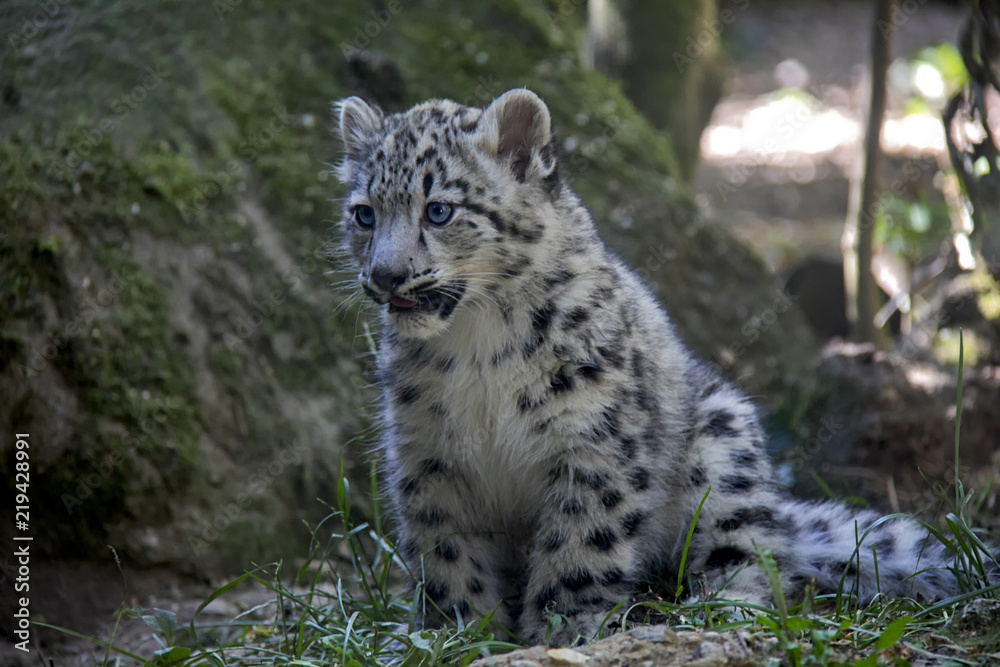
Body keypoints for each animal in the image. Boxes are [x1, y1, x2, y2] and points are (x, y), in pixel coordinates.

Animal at [333, 88, 997, 646]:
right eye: (364, 214)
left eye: (439, 210)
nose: (384, 276)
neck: (477, 348)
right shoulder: (428, 457)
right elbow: (448, 555)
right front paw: (457, 632)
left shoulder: (595, 443)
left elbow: (581, 542)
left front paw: (565, 628)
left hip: (724, 445)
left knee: (755, 558)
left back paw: (706, 611)